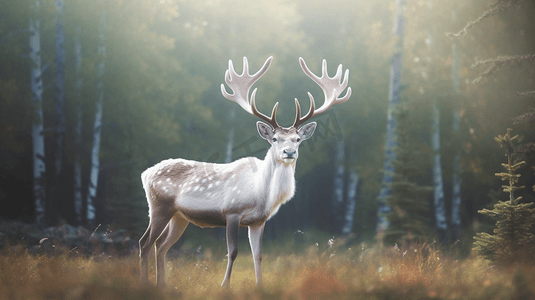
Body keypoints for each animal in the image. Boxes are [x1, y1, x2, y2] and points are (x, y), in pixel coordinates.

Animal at [140, 56, 352, 288]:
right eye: (275, 139)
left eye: (297, 139)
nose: (289, 152)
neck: (261, 195)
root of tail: (145, 173)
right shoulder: (232, 212)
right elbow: (233, 252)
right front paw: (224, 286)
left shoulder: (259, 221)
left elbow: (258, 255)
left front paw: (260, 286)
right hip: (159, 205)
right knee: (145, 242)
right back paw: (144, 283)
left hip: (179, 216)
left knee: (161, 245)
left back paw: (162, 284)